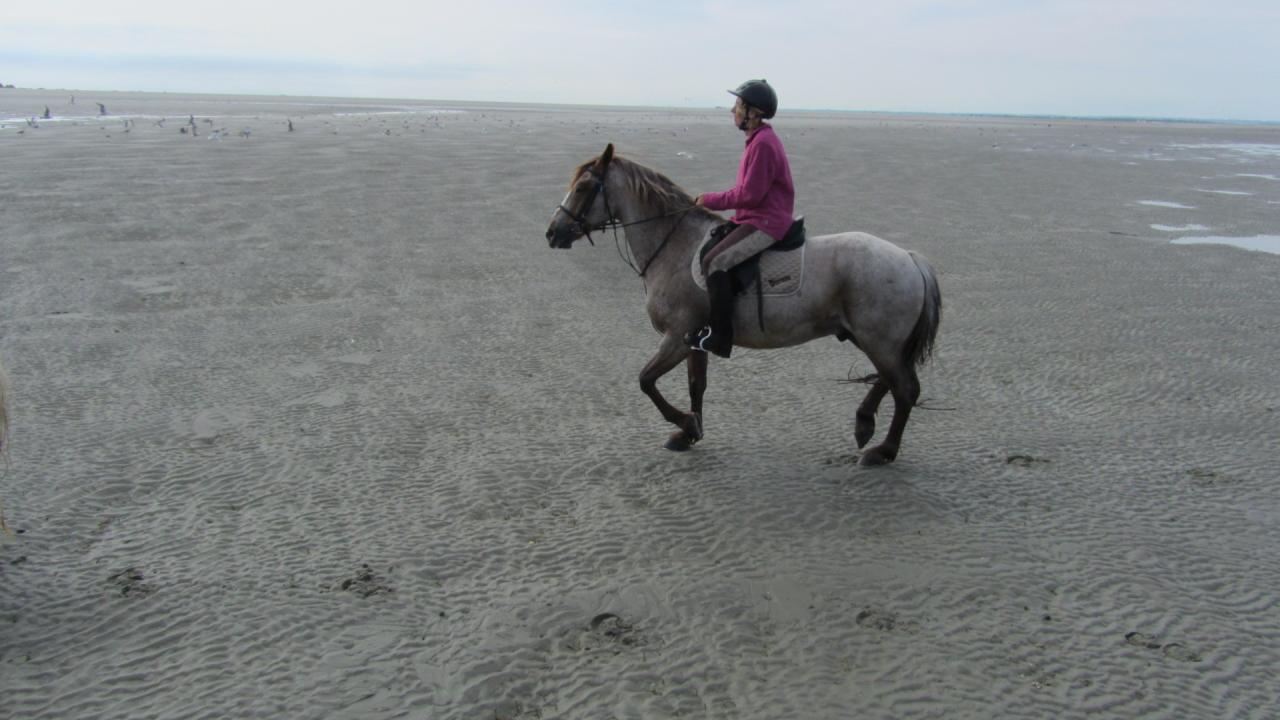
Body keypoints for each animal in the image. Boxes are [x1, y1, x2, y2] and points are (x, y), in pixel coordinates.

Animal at [540, 144, 942, 466]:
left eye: (583, 187)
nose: (552, 232)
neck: (674, 245)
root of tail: (910, 259)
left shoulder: (676, 337)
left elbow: (646, 381)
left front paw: (686, 423)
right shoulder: (694, 341)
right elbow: (695, 385)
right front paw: (689, 432)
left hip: (878, 340)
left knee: (905, 388)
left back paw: (883, 450)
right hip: (869, 338)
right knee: (892, 380)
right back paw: (864, 423)